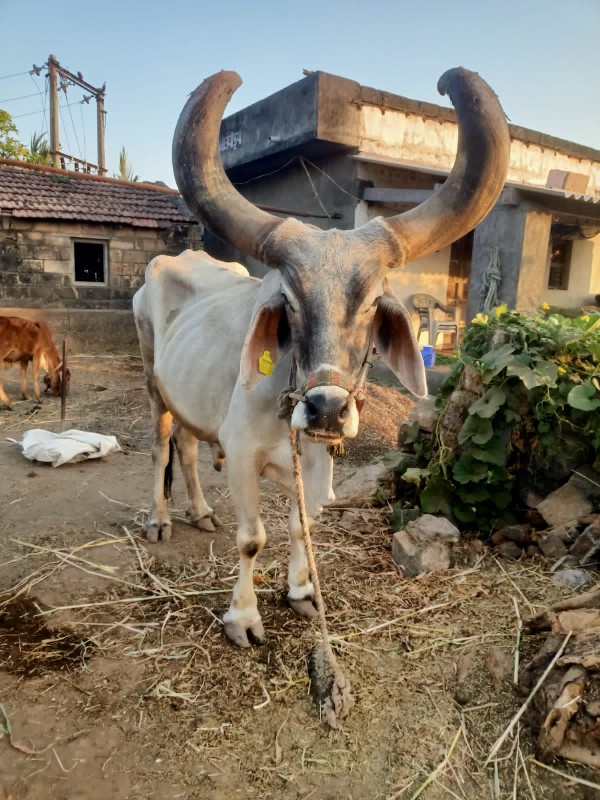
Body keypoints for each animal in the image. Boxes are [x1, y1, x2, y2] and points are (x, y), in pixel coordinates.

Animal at [134, 65, 508, 648]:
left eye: (374, 302)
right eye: (288, 301)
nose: (327, 409)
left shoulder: (312, 459)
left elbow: (300, 526)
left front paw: (302, 593)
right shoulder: (241, 456)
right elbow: (252, 538)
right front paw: (243, 618)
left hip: (188, 398)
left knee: (189, 449)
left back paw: (198, 511)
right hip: (153, 382)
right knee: (159, 449)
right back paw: (160, 519)